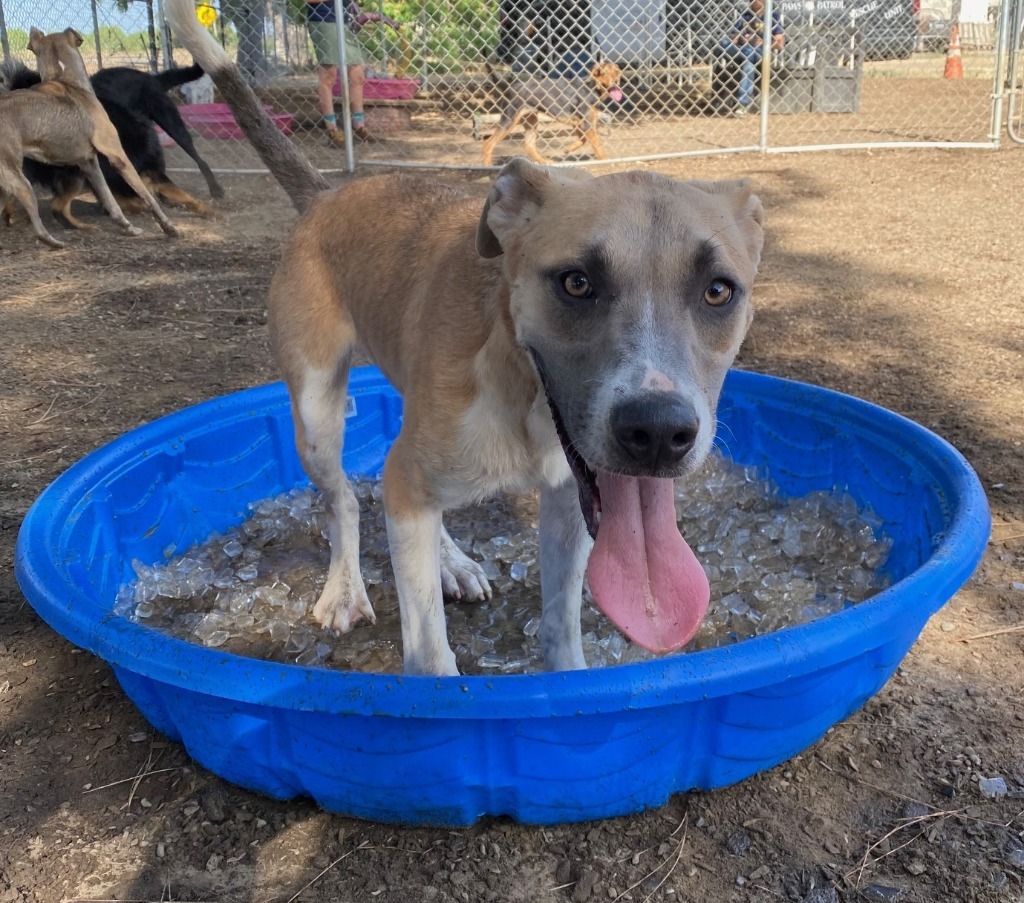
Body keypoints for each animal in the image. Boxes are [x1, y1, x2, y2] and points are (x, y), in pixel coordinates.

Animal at [0, 28, 176, 246]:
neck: (65, 80)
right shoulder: (118, 157)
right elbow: (146, 195)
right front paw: (167, 226)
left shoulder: (89, 163)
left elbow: (111, 201)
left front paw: (128, 227)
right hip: (20, 181)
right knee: (38, 223)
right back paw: (54, 242)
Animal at [0, 60, 224, 228]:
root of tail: (150, 77)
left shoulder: (147, 171)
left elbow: (180, 194)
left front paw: (204, 208)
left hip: (172, 123)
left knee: (199, 158)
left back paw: (215, 190)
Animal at [163, 0, 765, 675]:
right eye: (577, 282)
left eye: (718, 291)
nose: (658, 433)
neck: (524, 399)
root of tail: (326, 194)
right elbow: (429, 653)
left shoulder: (569, 501)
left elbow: (561, 626)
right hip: (316, 414)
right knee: (345, 500)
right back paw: (345, 589)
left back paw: (449, 561)